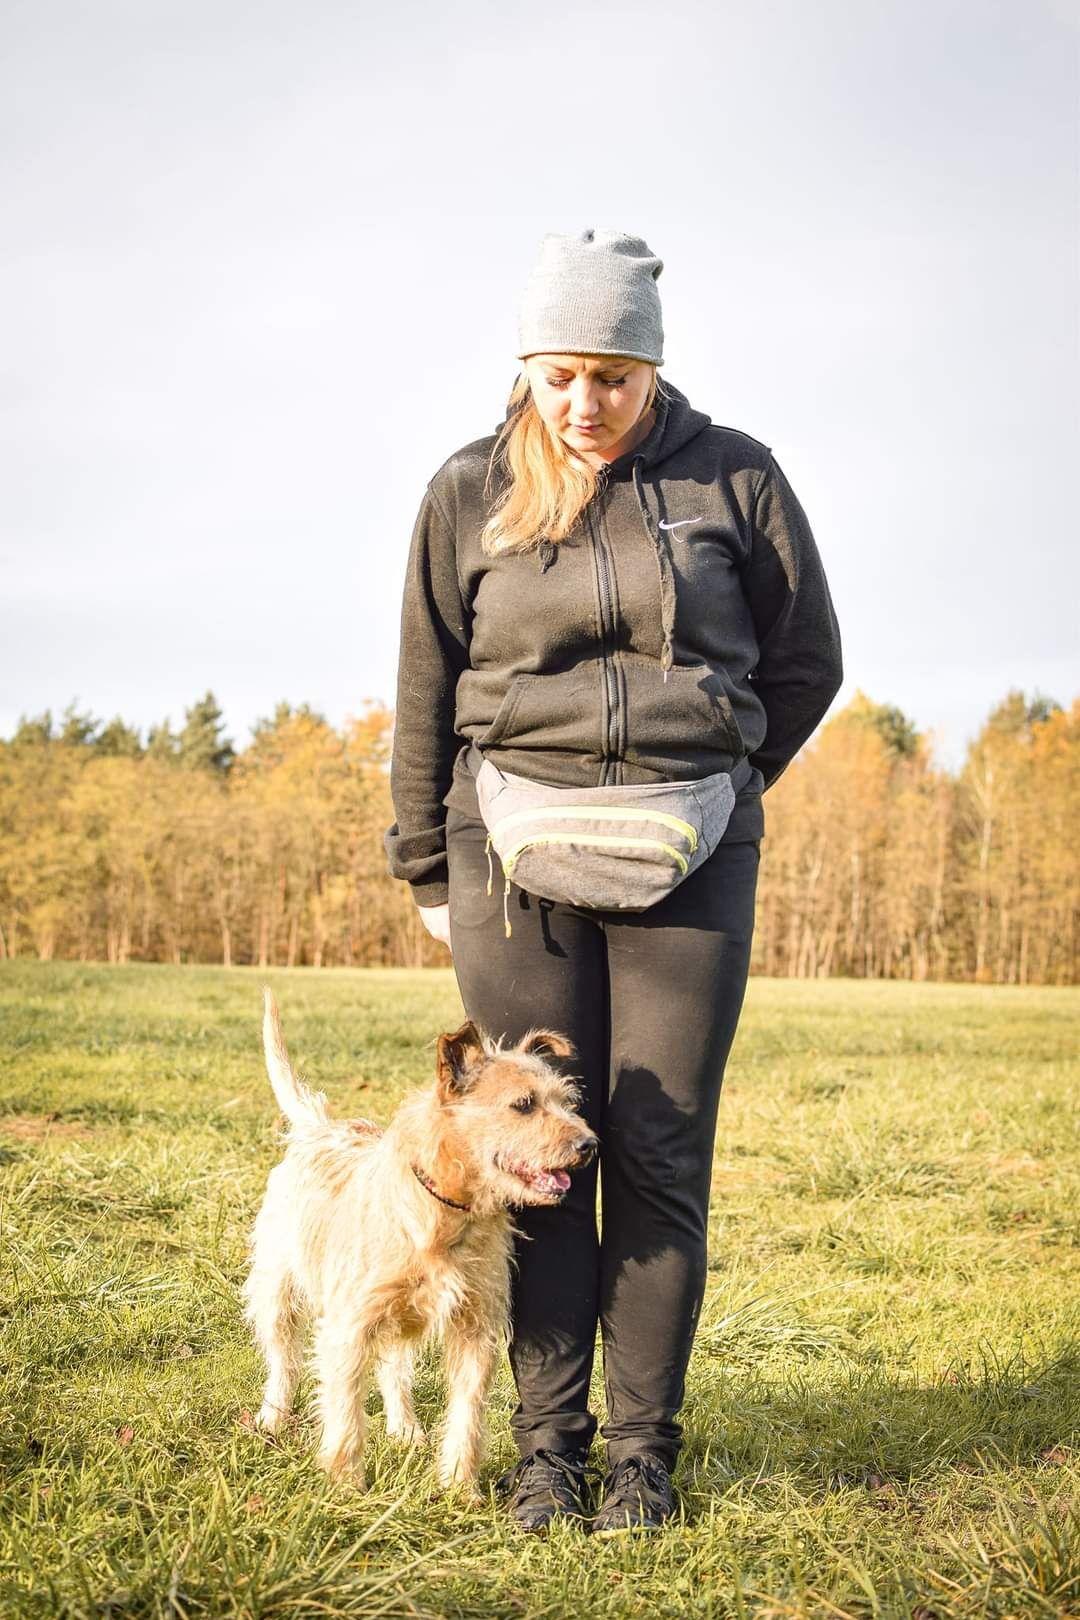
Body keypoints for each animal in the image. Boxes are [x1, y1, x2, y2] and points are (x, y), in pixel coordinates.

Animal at [242, 984, 599, 1490]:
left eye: (568, 1102)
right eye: (524, 1104)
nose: (590, 1145)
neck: (448, 1212)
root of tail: (319, 1128)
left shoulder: (476, 1330)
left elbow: (467, 1411)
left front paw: (459, 1487)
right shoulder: (350, 1325)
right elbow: (345, 1410)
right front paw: (347, 1485)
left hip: (401, 1317)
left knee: (394, 1369)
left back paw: (406, 1428)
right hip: (278, 1289)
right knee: (282, 1358)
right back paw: (272, 1416)